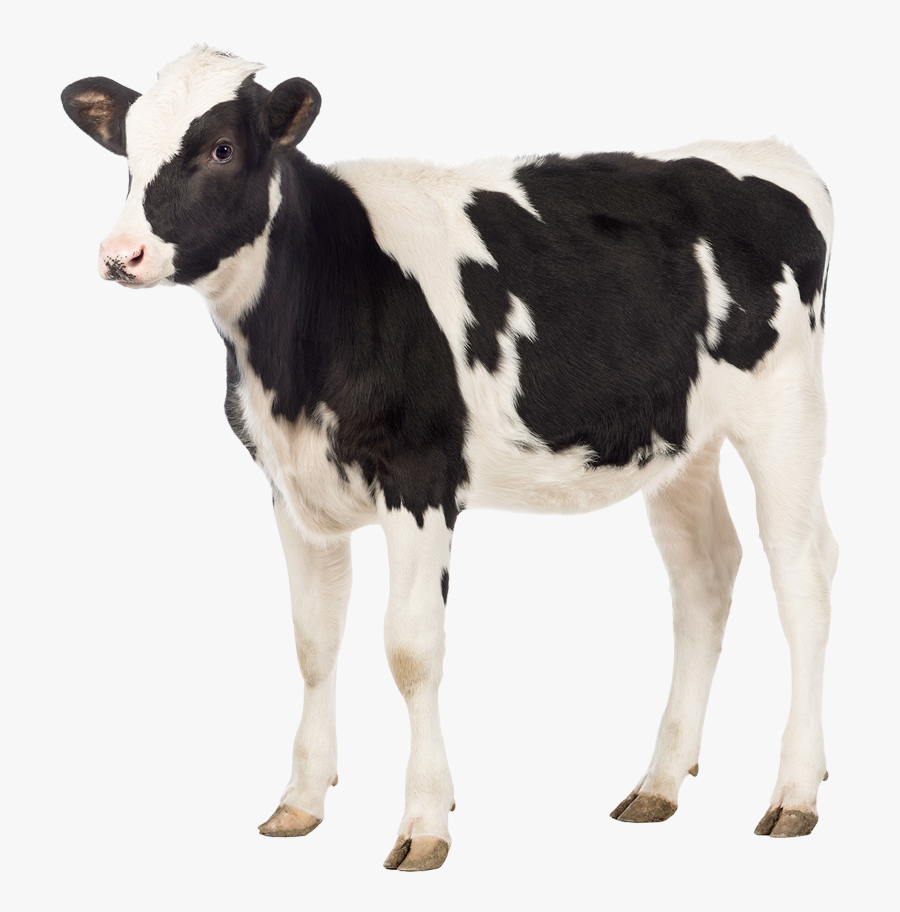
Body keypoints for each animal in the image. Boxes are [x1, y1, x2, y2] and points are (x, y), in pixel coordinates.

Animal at [62, 45, 837, 871]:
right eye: (128, 150)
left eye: (221, 149)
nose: (120, 256)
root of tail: (773, 155)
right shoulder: (291, 487)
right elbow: (312, 642)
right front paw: (300, 802)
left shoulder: (420, 477)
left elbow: (410, 650)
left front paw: (425, 823)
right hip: (681, 440)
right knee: (704, 577)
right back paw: (658, 784)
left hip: (785, 408)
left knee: (802, 575)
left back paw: (795, 793)